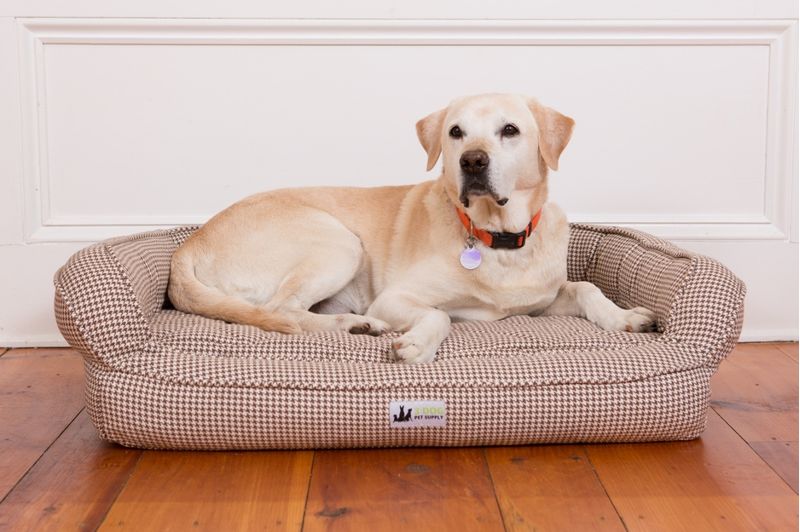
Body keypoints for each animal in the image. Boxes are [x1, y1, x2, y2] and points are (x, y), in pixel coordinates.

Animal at [169, 93, 656, 364]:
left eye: (510, 130)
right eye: (456, 132)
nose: (472, 162)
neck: (496, 240)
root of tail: (187, 247)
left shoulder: (542, 301)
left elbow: (586, 287)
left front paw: (624, 316)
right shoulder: (396, 298)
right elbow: (438, 313)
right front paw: (418, 345)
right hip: (339, 243)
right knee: (283, 312)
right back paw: (356, 324)